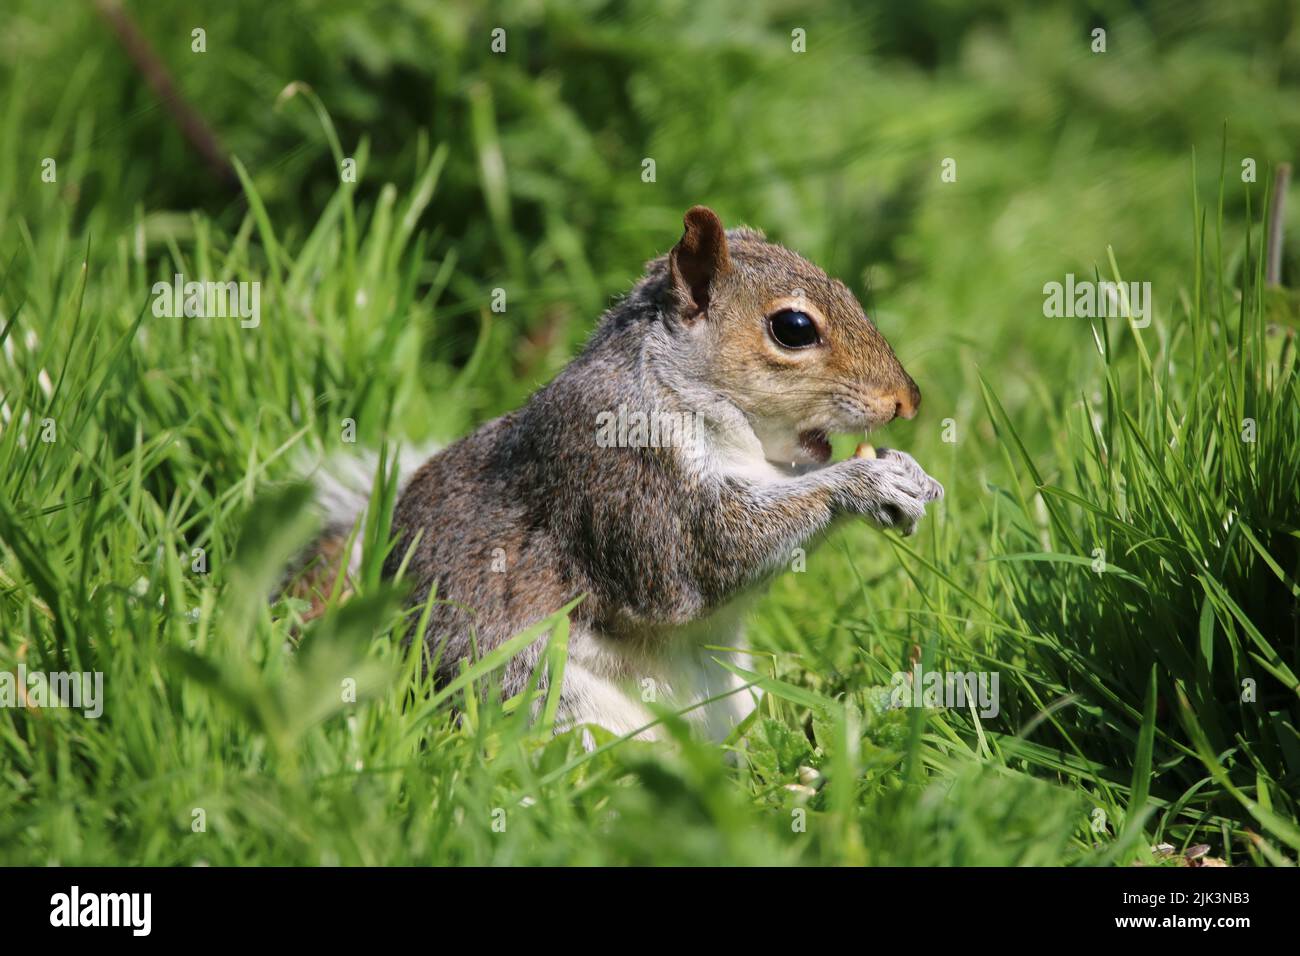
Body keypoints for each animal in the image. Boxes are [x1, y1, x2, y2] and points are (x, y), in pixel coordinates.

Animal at [305, 206, 943, 743]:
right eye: (793, 328)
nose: (907, 401)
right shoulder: (624, 478)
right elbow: (709, 552)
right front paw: (866, 484)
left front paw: (908, 470)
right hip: (540, 692)